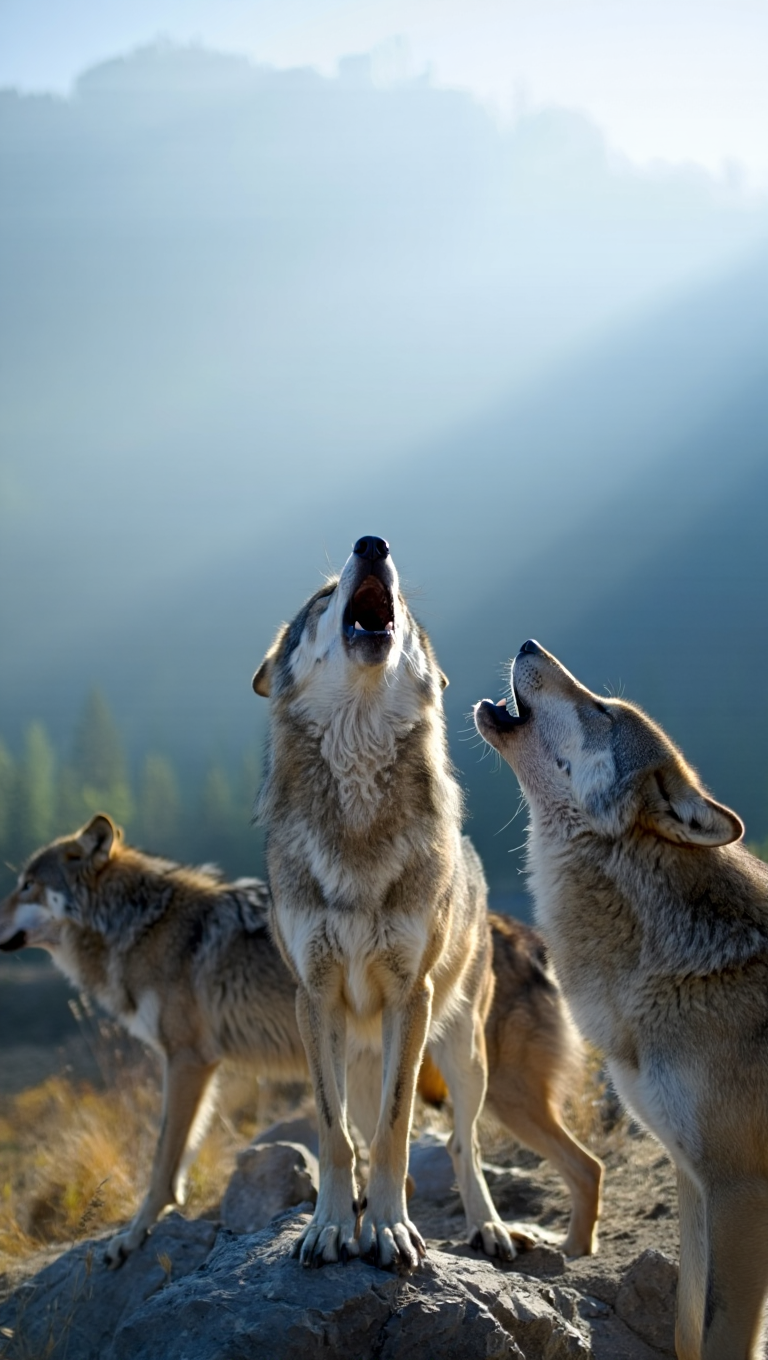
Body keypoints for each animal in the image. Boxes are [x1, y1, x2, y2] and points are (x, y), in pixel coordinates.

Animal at [254, 534, 519, 1269]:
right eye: (322, 596)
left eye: (399, 597)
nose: (372, 544)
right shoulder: (313, 997)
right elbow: (334, 1132)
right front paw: (329, 1226)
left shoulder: (411, 994)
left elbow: (396, 1130)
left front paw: (391, 1229)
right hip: (360, 1049)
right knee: (362, 1126)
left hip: (463, 1049)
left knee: (461, 1141)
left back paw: (489, 1227)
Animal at [475, 638, 768, 1360]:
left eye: (602, 711)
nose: (528, 643)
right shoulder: (694, 1179)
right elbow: (689, 1328)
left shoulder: (740, 1191)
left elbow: (720, 1336)